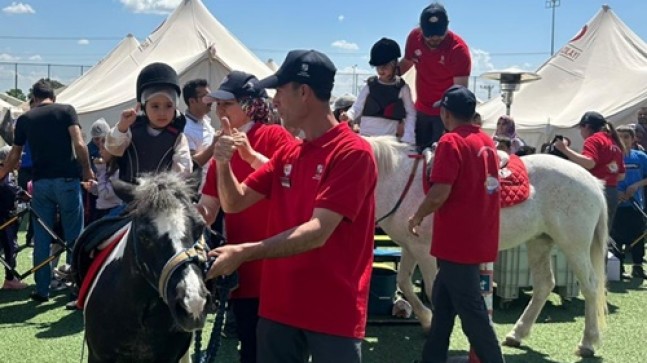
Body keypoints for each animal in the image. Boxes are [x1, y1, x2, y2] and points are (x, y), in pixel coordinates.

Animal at [368, 137, 612, 358]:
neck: (401, 182)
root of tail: (592, 180)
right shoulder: (410, 247)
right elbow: (404, 282)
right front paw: (427, 321)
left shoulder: (424, 251)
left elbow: (428, 289)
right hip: (539, 242)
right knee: (544, 285)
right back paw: (517, 334)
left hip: (574, 245)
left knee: (590, 286)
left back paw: (588, 343)